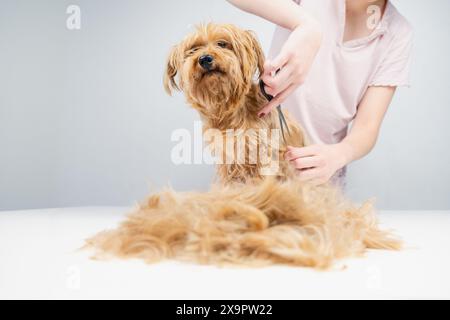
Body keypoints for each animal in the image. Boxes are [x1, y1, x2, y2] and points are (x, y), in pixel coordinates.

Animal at [85, 23, 400, 268]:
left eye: (223, 43)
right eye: (193, 49)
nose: (206, 59)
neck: (230, 111)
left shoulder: (266, 158)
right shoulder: (228, 162)